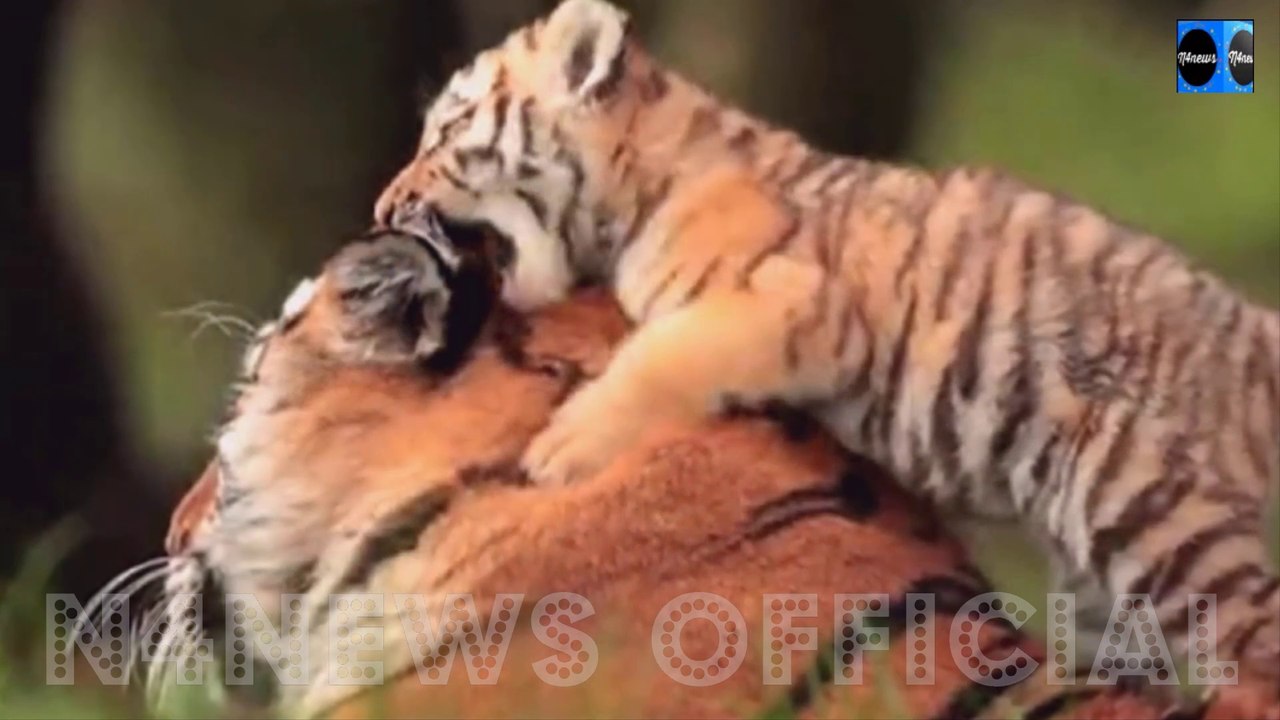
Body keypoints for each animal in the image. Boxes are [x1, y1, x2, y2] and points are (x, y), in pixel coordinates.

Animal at [370, 0, 1280, 697]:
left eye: (450, 129)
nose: (384, 210)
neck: (634, 195)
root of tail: (1250, 326)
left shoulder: (792, 305)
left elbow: (660, 356)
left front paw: (564, 446)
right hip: (1102, 578)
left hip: (1159, 512)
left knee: (1256, 648)